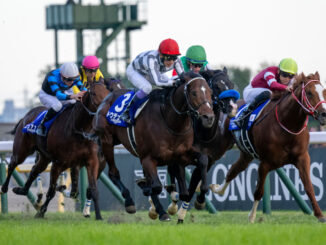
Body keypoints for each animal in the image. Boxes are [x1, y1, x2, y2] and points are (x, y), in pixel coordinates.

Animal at [0, 81, 110, 220]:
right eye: (94, 93)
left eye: (108, 92)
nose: (106, 112)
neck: (77, 129)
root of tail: (26, 115)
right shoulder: (58, 163)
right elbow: (51, 191)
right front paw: (41, 212)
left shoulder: (92, 161)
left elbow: (93, 190)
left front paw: (99, 216)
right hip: (22, 150)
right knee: (12, 164)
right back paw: (4, 188)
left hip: (44, 157)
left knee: (35, 170)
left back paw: (21, 190)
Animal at [93, 71, 215, 220]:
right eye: (194, 93)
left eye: (210, 92)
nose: (209, 117)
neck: (170, 122)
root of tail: (108, 97)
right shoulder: (148, 158)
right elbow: (156, 186)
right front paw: (157, 204)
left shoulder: (182, 154)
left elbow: (202, 161)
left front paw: (200, 199)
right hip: (107, 142)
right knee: (113, 173)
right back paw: (132, 202)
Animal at [211, 72, 326, 223]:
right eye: (309, 92)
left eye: (324, 91)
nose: (324, 114)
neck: (287, 124)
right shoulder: (265, 163)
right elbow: (259, 191)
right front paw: (251, 217)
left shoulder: (302, 158)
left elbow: (309, 187)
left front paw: (320, 215)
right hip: (220, 146)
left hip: (246, 154)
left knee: (233, 170)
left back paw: (218, 190)